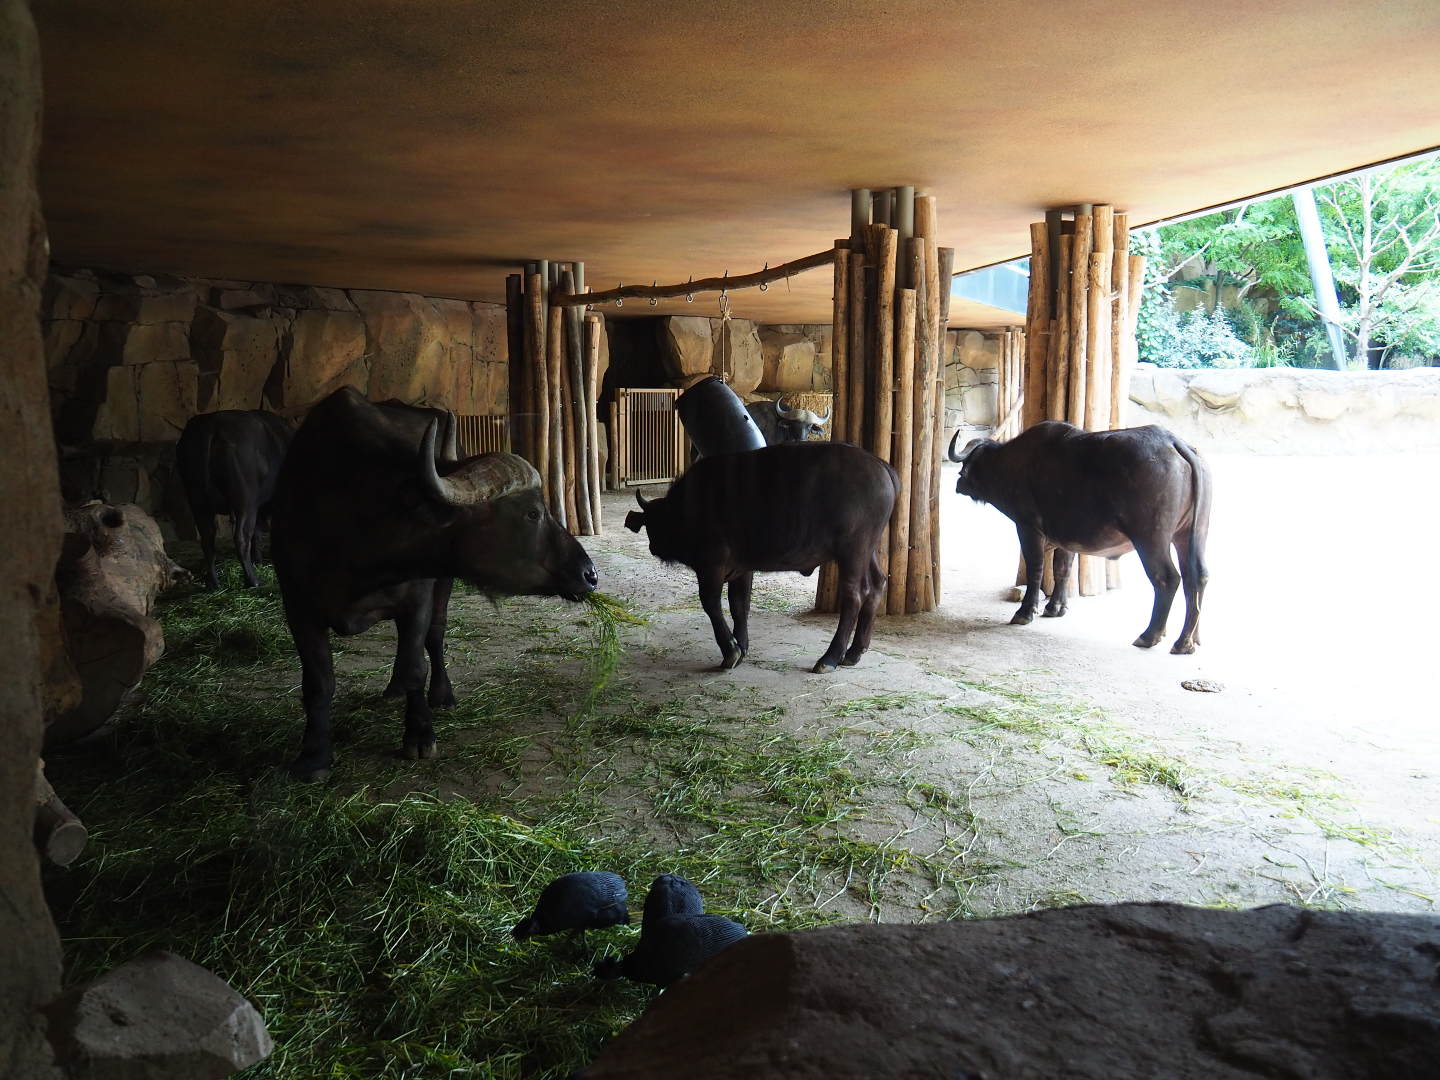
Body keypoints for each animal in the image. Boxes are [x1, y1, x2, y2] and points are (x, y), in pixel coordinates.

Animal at [176, 410, 293, 589]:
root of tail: (214, 425)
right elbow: (257, 530)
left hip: (198, 501)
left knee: (208, 540)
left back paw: (212, 582)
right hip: (245, 501)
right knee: (242, 538)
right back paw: (253, 580)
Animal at [271, 387, 597, 781]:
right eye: (533, 513)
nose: (589, 574)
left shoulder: (418, 597)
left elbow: (417, 665)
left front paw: (420, 733)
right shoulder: (297, 606)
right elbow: (318, 683)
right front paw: (314, 754)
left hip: (442, 585)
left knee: (435, 636)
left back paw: (440, 694)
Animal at [625, 442, 897, 673]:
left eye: (655, 523)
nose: (653, 547)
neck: (692, 505)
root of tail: (880, 466)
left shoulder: (711, 565)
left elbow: (711, 603)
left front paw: (730, 652)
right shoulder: (742, 569)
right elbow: (739, 605)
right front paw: (742, 646)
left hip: (852, 553)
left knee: (853, 597)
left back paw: (829, 658)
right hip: (867, 552)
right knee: (876, 585)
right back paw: (853, 652)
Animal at [948, 420, 1211, 654]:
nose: (958, 484)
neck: (1010, 465)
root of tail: (1173, 442)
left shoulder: (1028, 529)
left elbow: (1036, 570)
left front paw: (1025, 612)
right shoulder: (1068, 540)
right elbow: (1063, 569)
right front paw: (1056, 607)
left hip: (1151, 539)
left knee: (1167, 579)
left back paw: (1150, 635)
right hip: (1191, 534)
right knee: (1197, 578)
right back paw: (1187, 640)